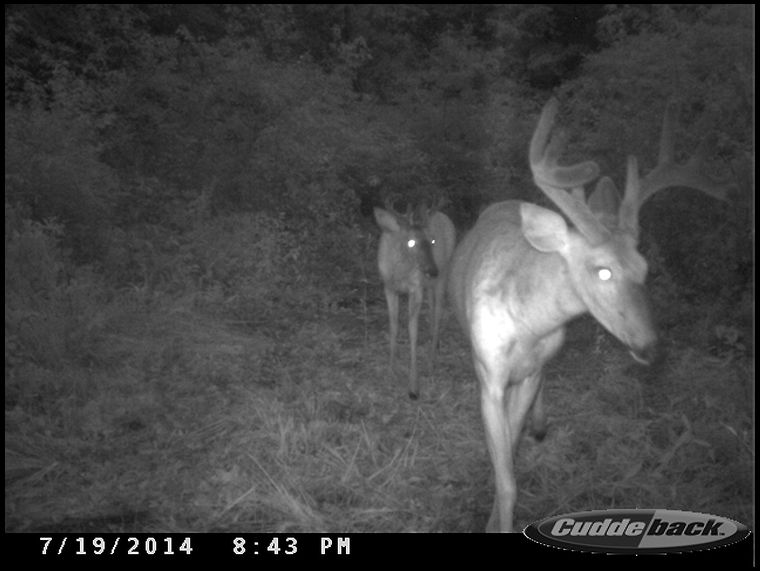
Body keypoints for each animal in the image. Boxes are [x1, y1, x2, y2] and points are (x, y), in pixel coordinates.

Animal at [376, 203, 458, 400]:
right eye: (411, 242)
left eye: (432, 240)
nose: (432, 270)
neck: (400, 272)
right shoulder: (389, 287)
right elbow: (394, 325)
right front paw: (391, 371)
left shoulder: (416, 288)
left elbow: (412, 330)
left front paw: (413, 387)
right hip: (430, 284)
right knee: (432, 308)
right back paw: (433, 341)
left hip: (443, 274)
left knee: (438, 311)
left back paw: (431, 361)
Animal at [448, 100, 732, 536]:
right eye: (603, 271)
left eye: (644, 267)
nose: (651, 348)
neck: (528, 325)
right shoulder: (488, 374)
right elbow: (506, 476)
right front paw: (496, 516)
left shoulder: (532, 371)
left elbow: (510, 452)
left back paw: (540, 423)